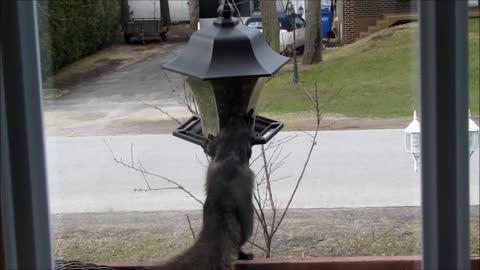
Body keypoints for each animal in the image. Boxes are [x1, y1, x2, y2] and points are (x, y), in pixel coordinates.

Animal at [149, 110, 256, 270]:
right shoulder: (244, 145)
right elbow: (248, 151)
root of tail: (223, 203)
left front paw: (207, 141)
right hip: (247, 221)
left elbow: (210, 148)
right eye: (249, 120)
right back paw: (245, 255)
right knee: (238, 245)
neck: (233, 132)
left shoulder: (219, 142)